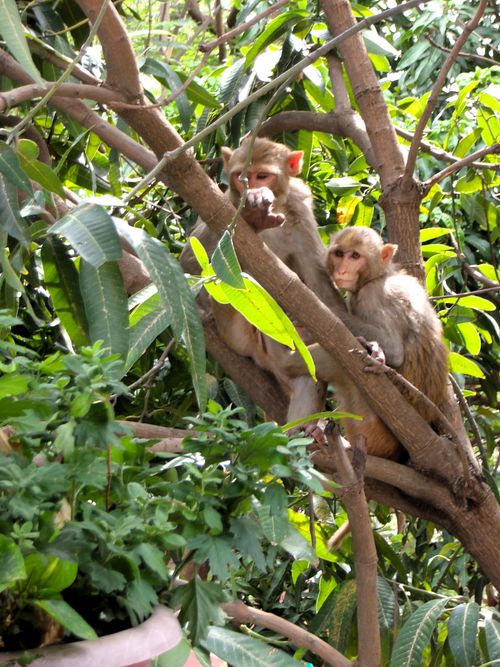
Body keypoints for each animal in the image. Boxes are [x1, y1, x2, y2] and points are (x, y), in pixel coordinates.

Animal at [274, 226, 450, 459]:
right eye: (340, 254)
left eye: (355, 256)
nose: (342, 271)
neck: (380, 275)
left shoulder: (372, 296)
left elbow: (394, 350)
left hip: (370, 429)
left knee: (338, 360)